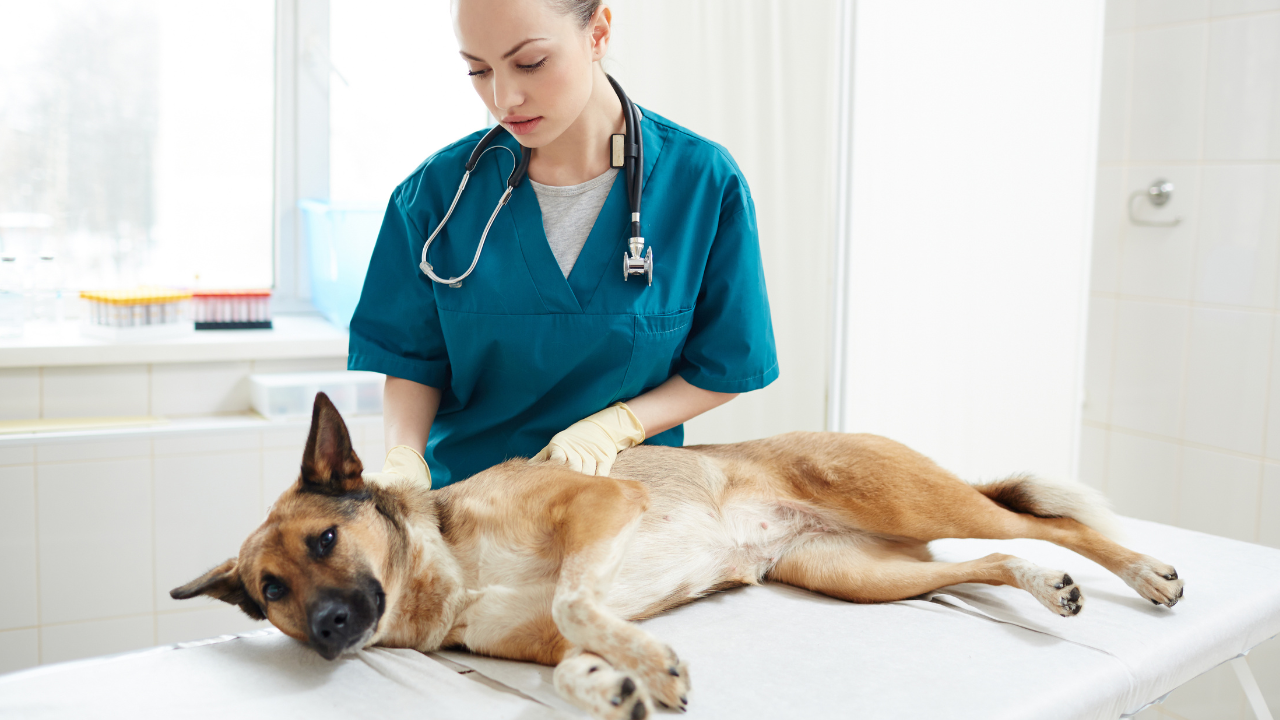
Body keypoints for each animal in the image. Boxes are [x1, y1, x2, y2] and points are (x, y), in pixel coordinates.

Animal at [170, 392, 1177, 717]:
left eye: (326, 539)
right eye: (271, 591)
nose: (331, 627)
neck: (447, 571)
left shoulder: (600, 500)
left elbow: (577, 597)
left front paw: (650, 664)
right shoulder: (541, 641)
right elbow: (572, 653)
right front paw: (615, 684)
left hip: (902, 496)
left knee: (1042, 523)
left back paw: (1140, 572)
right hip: (860, 576)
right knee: (991, 558)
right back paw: (1046, 587)